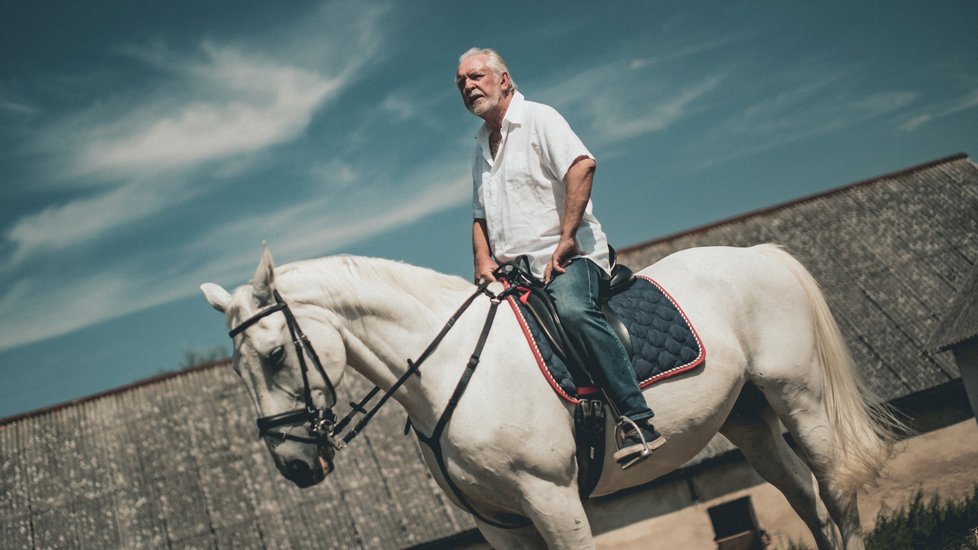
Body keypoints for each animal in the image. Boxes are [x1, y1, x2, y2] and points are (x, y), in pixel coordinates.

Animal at [198, 246, 900, 550]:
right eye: (236, 369)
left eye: (274, 355)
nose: (295, 465)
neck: (451, 370)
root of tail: (760, 253)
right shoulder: (500, 524)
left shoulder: (552, 498)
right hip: (749, 420)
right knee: (805, 499)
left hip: (799, 398)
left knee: (835, 490)